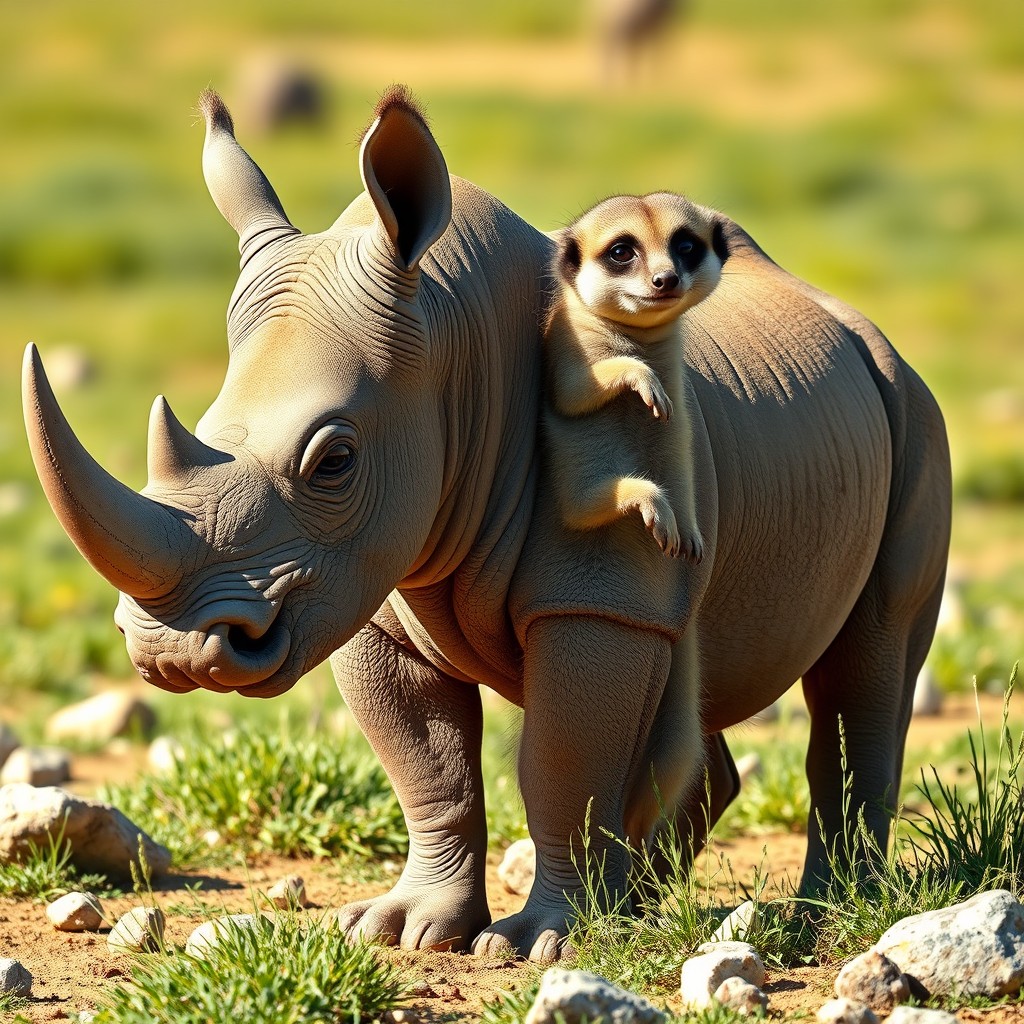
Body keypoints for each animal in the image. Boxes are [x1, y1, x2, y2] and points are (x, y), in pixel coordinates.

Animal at [22, 86, 951, 961]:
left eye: (334, 461)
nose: (171, 653)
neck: (456, 355)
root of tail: (845, 317)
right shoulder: (366, 590)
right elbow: (429, 769)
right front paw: (401, 929)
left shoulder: (595, 598)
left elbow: (562, 764)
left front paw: (544, 940)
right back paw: (641, 904)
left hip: (910, 405)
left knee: (864, 664)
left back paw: (823, 914)